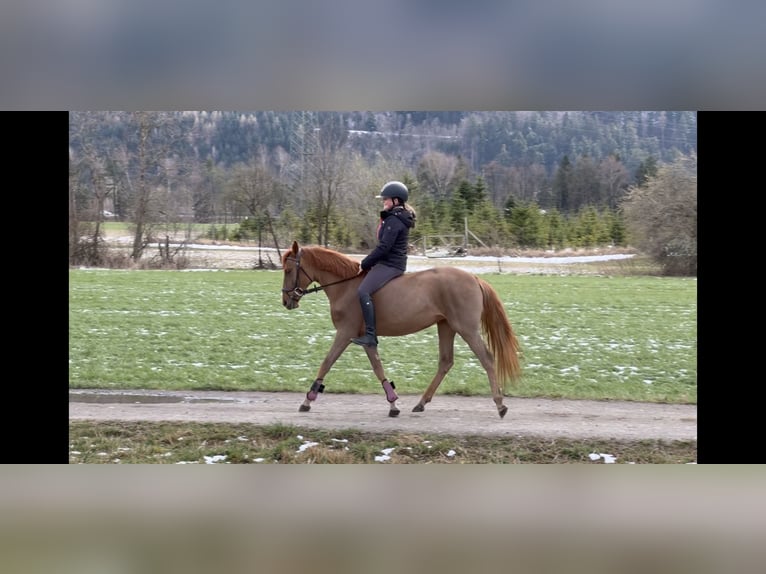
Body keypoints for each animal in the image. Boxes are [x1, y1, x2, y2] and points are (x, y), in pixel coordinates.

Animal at [281, 240, 522, 418]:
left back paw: (500, 405)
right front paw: (393, 404)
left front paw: (307, 400)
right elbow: (377, 367)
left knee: (486, 358)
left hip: (466, 328)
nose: (286, 301)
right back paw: (421, 403)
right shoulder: (364, 338)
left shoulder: (345, 333)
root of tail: (474, 277)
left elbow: (327, 362)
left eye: (288, 269)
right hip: (446, 326)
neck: (345, 285)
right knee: (446, 362)